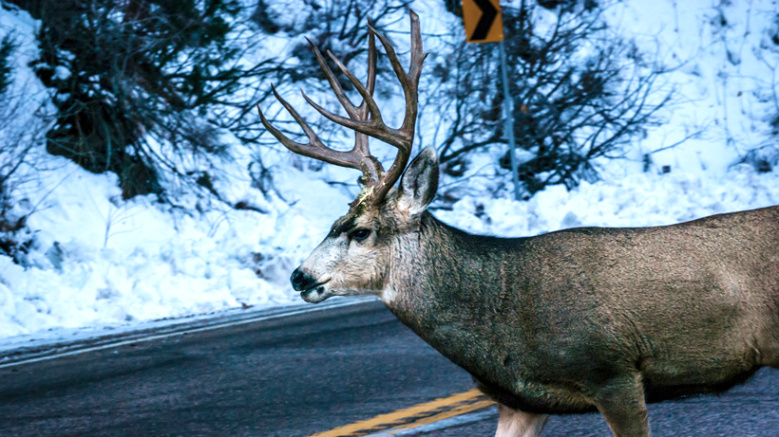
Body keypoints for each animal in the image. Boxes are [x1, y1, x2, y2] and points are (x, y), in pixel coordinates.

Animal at [258, 10, 779, 436]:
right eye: (333, 221)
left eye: (361, 230)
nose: (298, 275)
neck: (502, 313)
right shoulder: (520, 401)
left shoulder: (612, 371)